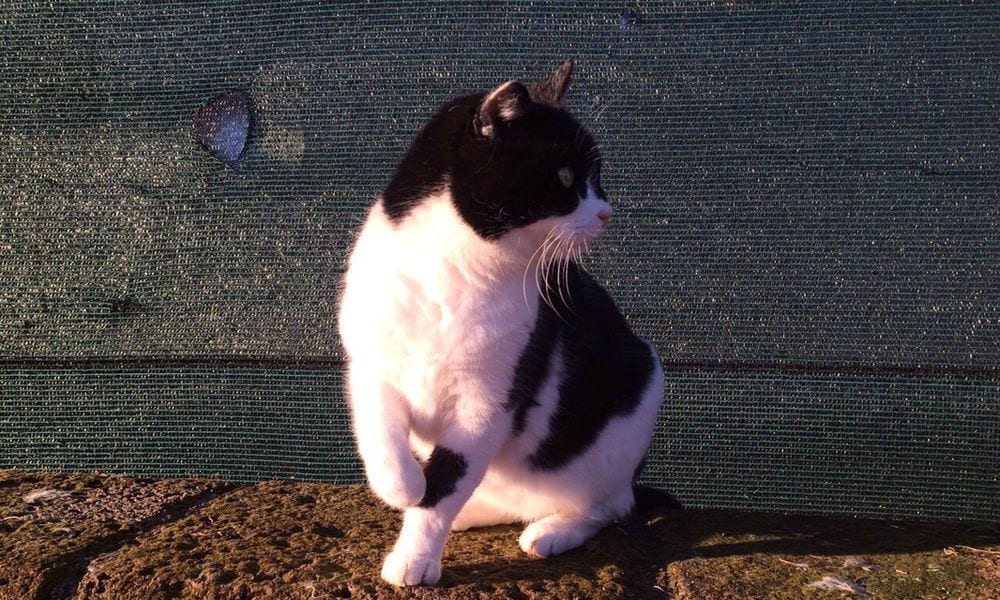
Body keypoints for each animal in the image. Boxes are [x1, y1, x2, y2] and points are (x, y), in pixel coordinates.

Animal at [340, 61, 668, 584]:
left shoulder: (484, 406)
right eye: (564, 176)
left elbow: (445, 487)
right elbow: (381, 438)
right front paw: (403, 487)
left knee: (609, 506)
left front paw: (415, 557)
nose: (606, 212)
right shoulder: (371, 368)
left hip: (639, 395)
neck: (453, 269)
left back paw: (553, 531)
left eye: (596, 179)